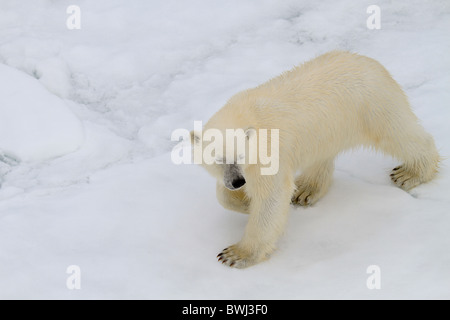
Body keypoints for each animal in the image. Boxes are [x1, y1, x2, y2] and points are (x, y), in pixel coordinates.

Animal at [191, 51, 440, 268]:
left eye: (240, 154)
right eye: (217, 158)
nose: (237, 182)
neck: (245, 114)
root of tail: (372, 62)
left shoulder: (268, 154)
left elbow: (271, 197)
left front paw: (236, 254)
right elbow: (224, 194)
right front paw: (244, 202)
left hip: (372, 106)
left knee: (398, 134)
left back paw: (411, 173)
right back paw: (305, 190)